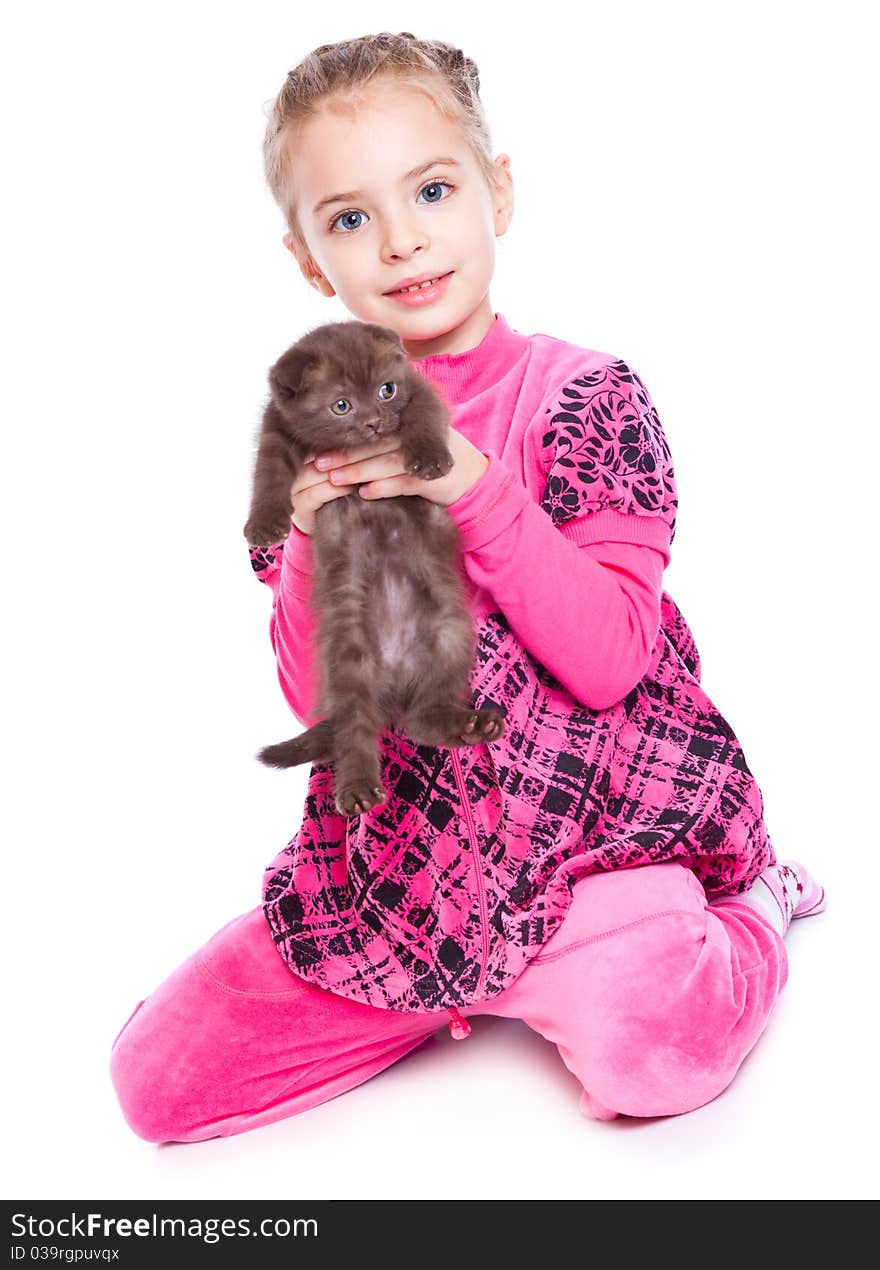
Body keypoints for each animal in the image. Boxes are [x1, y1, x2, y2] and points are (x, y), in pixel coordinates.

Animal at [240, 322, 505, 817]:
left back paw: (468, 725)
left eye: (387, 390)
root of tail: (394, 679)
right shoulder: (277, 428)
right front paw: (264, 523)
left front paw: (430, 459)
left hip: (451, 633)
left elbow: (423, 416)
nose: (375, 423)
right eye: (341, 404)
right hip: (348, 656)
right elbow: (268, 473)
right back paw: (358, 787)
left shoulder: (419, 391)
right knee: (355, 729)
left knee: (421, 718)